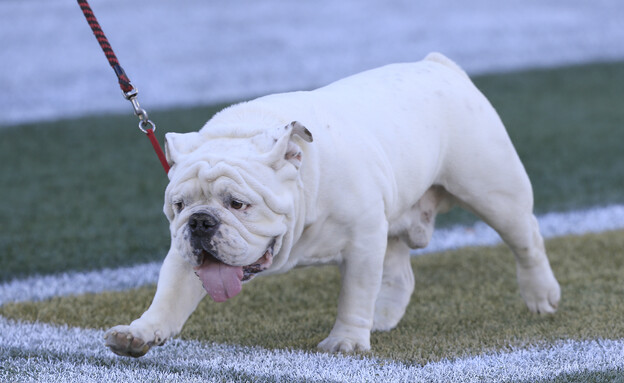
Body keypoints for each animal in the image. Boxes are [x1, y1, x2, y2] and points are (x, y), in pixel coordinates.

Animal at [103, 51, 560, 356]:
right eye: (179, 206)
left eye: (237, 204)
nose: (200, 222)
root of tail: (440, 65)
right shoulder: (184, 256)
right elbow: (168, 295)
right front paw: (138, 334)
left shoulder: (362, 241)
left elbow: (354, 294)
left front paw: (345, 341)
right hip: (394, 216)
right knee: (399, 273)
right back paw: (382, 317)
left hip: (494, 190)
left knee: (527, 240)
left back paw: (542, 297)